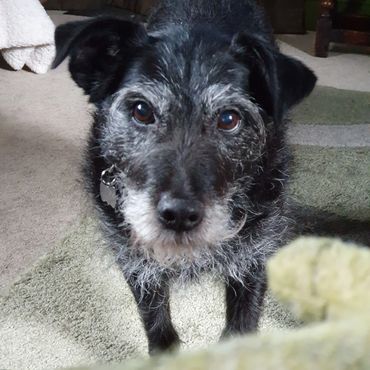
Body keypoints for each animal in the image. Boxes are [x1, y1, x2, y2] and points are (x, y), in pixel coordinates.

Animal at [53, 0, 316, 352]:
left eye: (228, 118)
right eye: (141, 111)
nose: (178, 216)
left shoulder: (254, 257)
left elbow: (241, 329)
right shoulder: (135, 258)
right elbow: (157, 324)